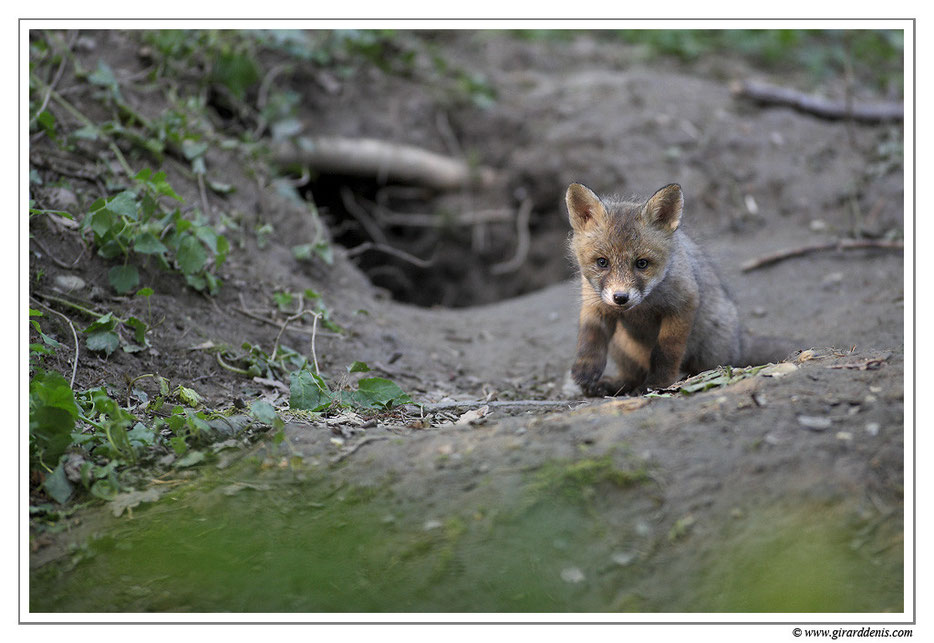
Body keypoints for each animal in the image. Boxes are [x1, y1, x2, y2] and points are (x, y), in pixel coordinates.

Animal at [572, 181, 788, 398]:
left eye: (642, 263)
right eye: (602, 262)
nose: (620, 297)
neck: (641, 309)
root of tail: (740, 340)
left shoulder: (682, 305)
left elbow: (666, 352)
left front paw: (658, 383)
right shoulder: (595, 304)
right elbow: (591, 339)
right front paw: (586, 369)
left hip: (710, 349)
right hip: (622, 347)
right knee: (631, 376)